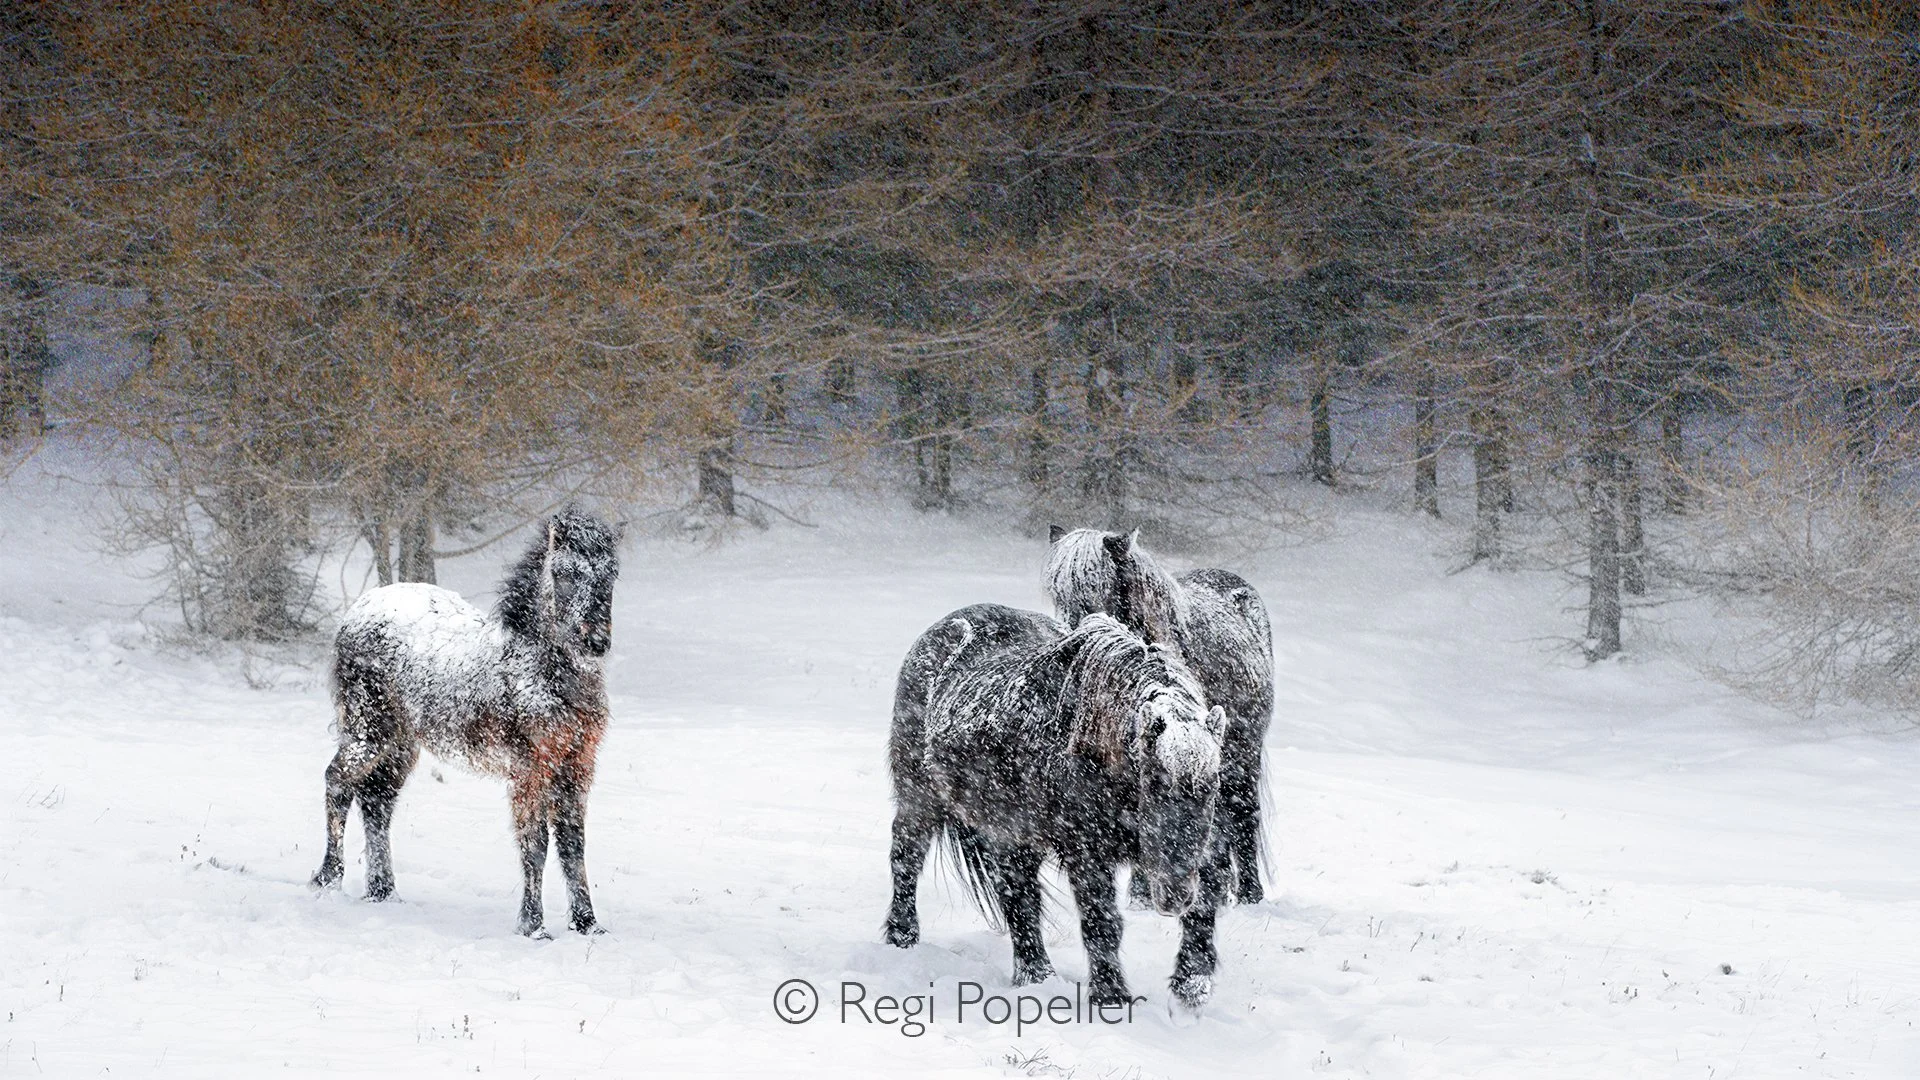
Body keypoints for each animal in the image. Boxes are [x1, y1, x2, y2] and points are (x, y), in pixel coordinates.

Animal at [310, 506, 623, 938]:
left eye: (611, 575)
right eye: (566, 573)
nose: (596, 642)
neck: (539, 672)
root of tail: (360, 608)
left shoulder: (577, 768)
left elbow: (572, 844)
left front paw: (588, 925)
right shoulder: (530, 772)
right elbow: (536, 845)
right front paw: (533, 927)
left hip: (400, 746)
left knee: (377, 802)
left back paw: (383, 892)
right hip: (368, 733)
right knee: (338, 781)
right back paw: (327, 879)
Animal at [884, 604, 1230, 1011]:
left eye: (1212, 786)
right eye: (1154, 781)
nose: (1174, 896)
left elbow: (1204, 905)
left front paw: (1192, 983)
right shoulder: (1087, 852)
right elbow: (1101, 921)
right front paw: (1111, 997)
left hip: (1011, 835)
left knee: (1019, 897)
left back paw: (1036, 974)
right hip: (921, 799)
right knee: (908, 856)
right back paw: (902, 936)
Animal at [1046, 526, 1274, 905]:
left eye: (1097, 589)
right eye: (1056, 594)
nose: (1069, 643)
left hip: (1244, 754)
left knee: (1244, 814)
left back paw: (1249, 893)